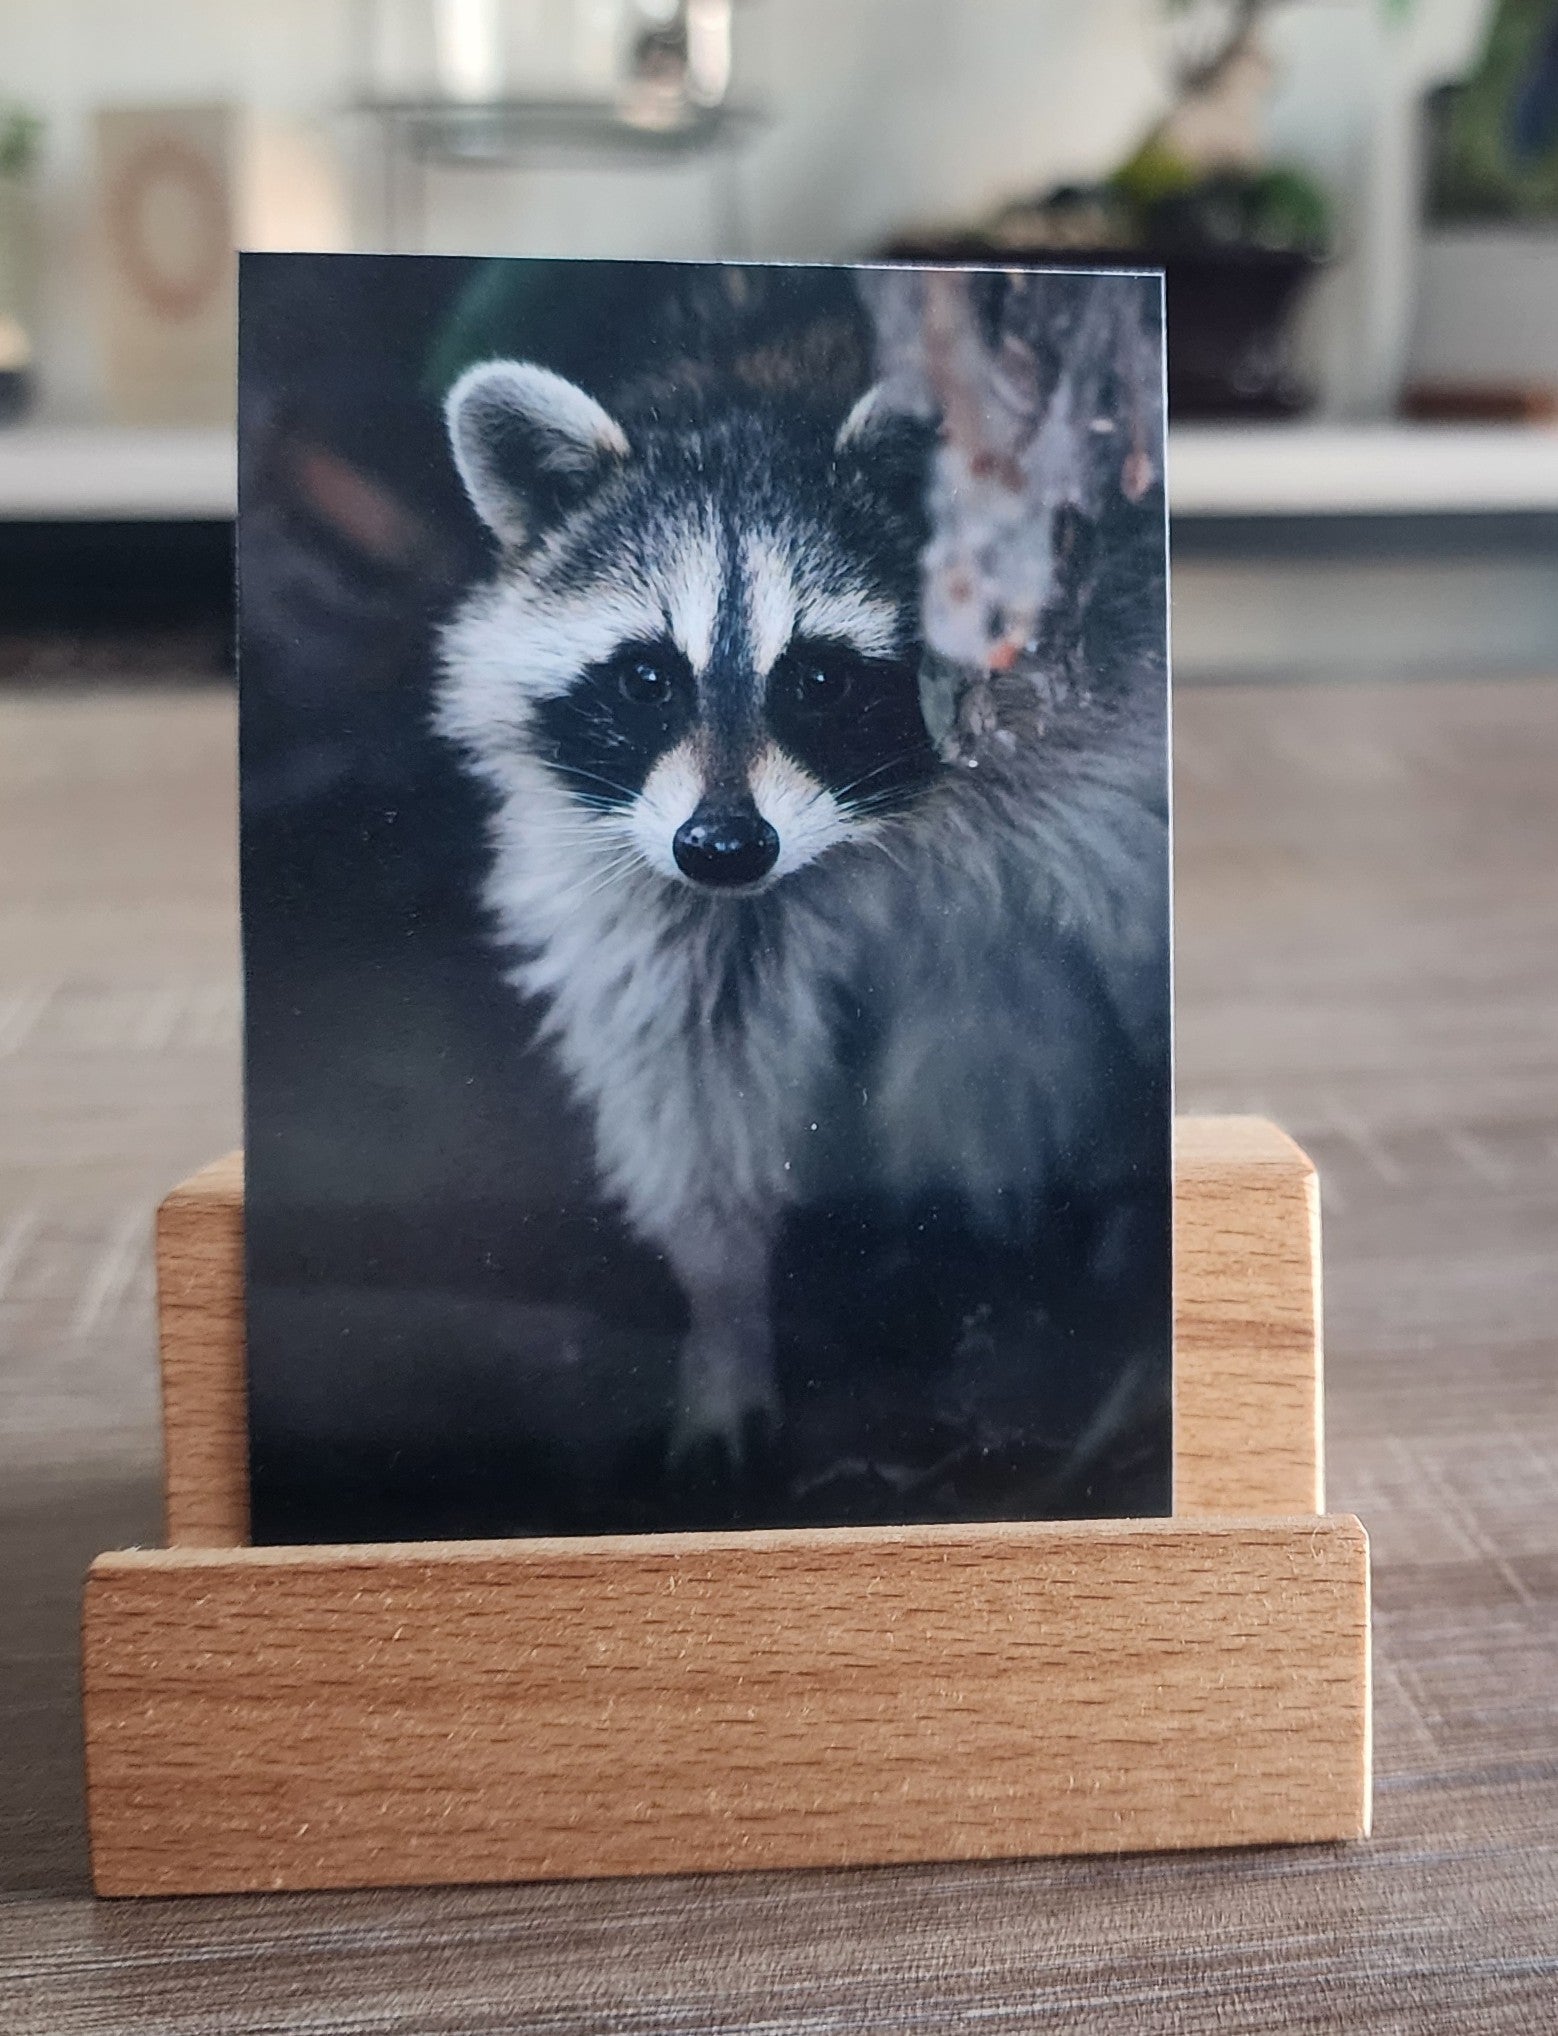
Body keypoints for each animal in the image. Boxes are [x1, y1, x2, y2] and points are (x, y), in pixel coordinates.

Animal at [435, 282, 1170, 1470]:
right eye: (647, 678)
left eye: (817, 678)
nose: (725, 849)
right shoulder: (643, 871)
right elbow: (690, 1067)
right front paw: (725, 1310)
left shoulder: (1103, 741)